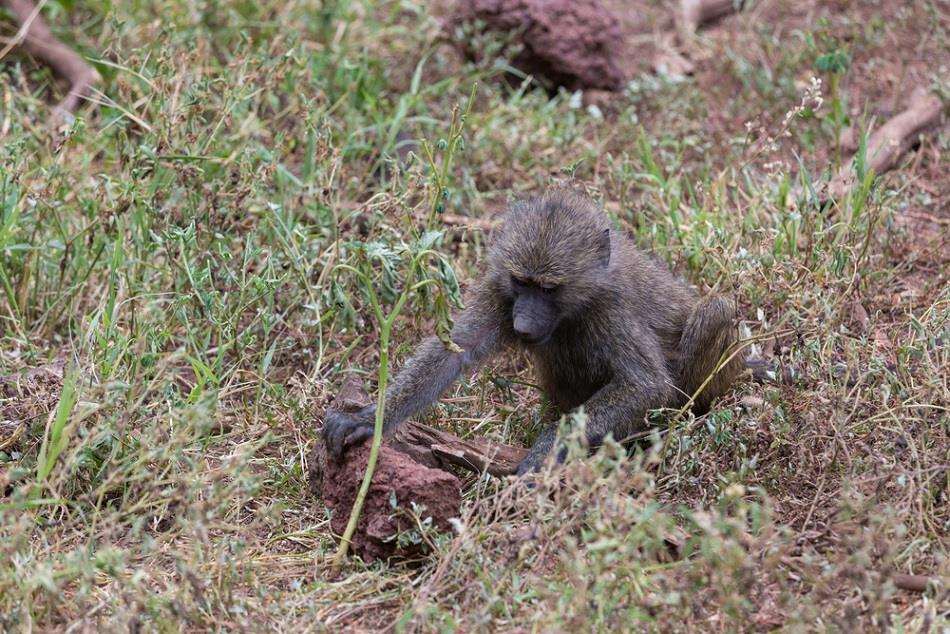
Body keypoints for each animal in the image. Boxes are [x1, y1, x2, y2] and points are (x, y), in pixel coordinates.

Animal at [324, 189, 748, 474]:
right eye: (522, 283)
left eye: (548, 288)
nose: (523, 324)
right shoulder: (500, 290)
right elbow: (456, 349)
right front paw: (367, 419)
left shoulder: (611, 309)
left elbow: (645, 384)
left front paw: (544, 450)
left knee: (716, 310)